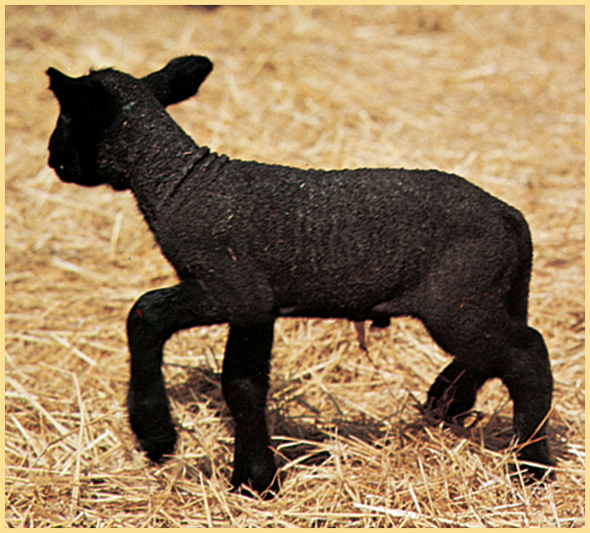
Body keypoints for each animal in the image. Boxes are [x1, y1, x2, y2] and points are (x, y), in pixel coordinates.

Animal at [46, 54, 556, 494]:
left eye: (68, 117)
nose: (54, 159)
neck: (178, 183)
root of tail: (514, 219)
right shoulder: (257, 308)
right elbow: (243, 385)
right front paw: (255, 479)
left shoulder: (231, 286)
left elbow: (145, 312)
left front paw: (156, 435)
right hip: (486, 296)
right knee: (500, 349)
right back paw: (448, 400)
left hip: (457, 300)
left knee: (526, 354)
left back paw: (531, 466)